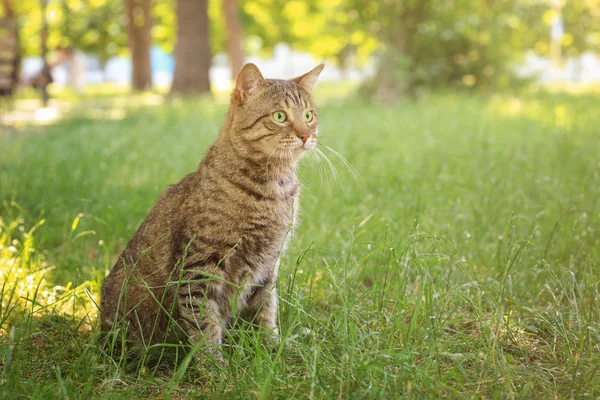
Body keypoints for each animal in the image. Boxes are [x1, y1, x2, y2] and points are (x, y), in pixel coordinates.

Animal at [99, 63, 324, 366]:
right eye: (280, 116)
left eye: (309, 116)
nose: (305, 136)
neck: (274, 187)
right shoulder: (199, 265)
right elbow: (204, 322)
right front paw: (213, 365)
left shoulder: (268, 263)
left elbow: (265, 310)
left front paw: (272, 348)